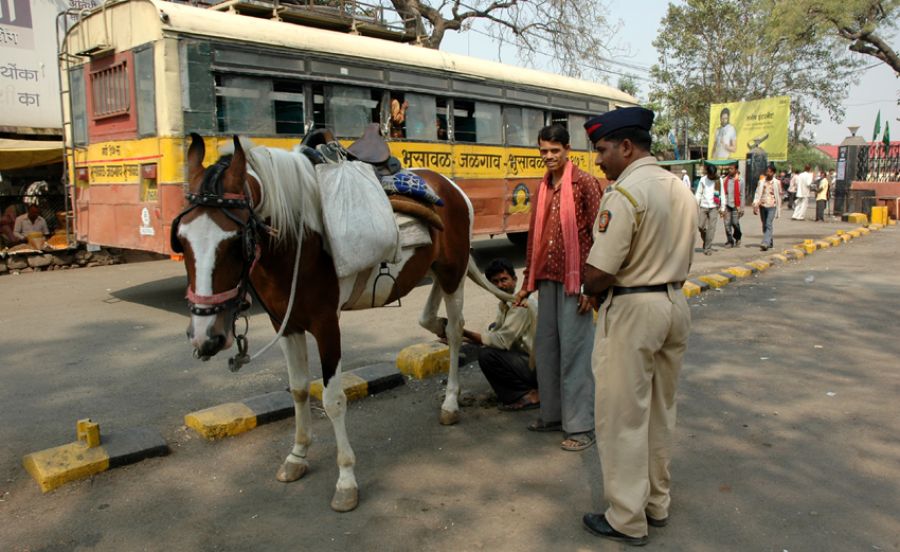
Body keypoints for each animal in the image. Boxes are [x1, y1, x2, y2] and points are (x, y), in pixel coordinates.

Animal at [171, 132, 474, 512]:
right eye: (181, 239)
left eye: (235, 241)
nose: (205, 336)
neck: (298, 239)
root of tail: (452, 187)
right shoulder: (285, 324)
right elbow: (299, 389)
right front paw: (297, 456)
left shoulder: (327, 324)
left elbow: (332, 400)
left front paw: (345, 480)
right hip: (437, 271)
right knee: (433, 316)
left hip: (453, 272)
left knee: (456, 330)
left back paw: (450, 401)